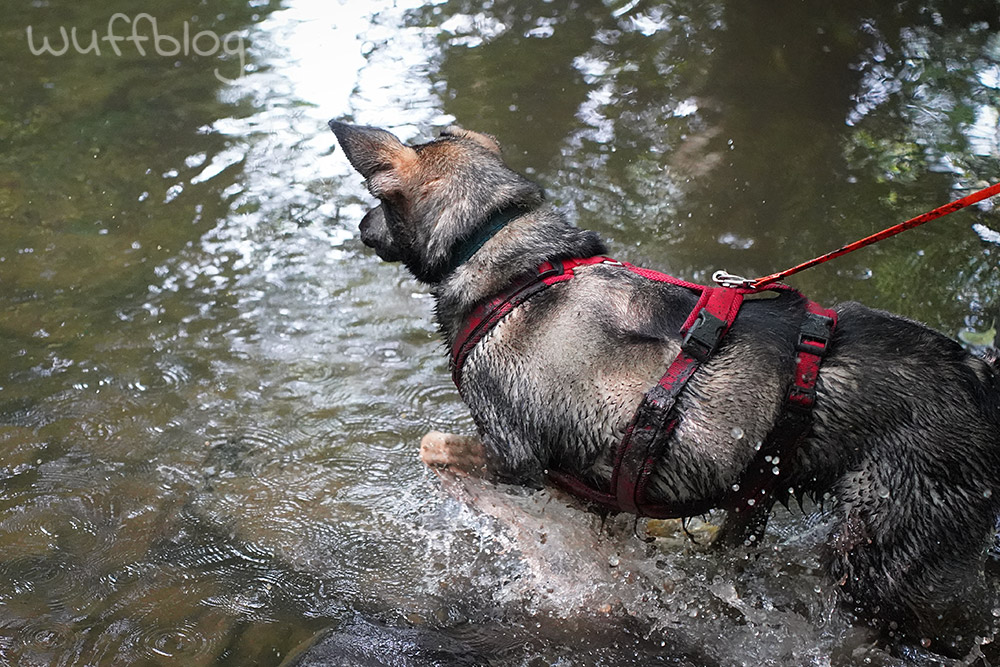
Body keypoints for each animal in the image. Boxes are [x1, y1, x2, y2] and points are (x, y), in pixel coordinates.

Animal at [330, 120, 1000, 652]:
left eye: (377, 196)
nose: (359, 225)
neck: (514, 268)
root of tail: (982, 377)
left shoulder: (517, 455)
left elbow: (438, 454)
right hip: (763, 501)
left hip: (875, 549)